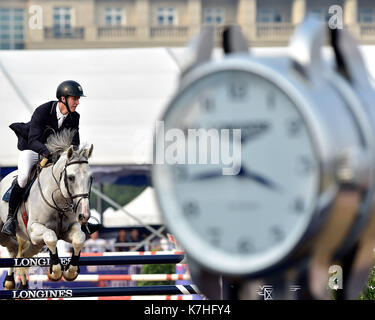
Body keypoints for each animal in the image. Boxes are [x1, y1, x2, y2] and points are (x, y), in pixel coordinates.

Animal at [0, 129, 93, 288]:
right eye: (71, 177)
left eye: (91, 178)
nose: (84, 215)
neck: (59, 202)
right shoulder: (34, 230)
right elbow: (51, 236)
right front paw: (55, 271)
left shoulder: (68, 229)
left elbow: (79, 238)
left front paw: (70, 271)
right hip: (8, 234)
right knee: (13, 250)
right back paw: (10, 281)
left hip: (34, 245)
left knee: (21, 254)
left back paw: (18, 283)